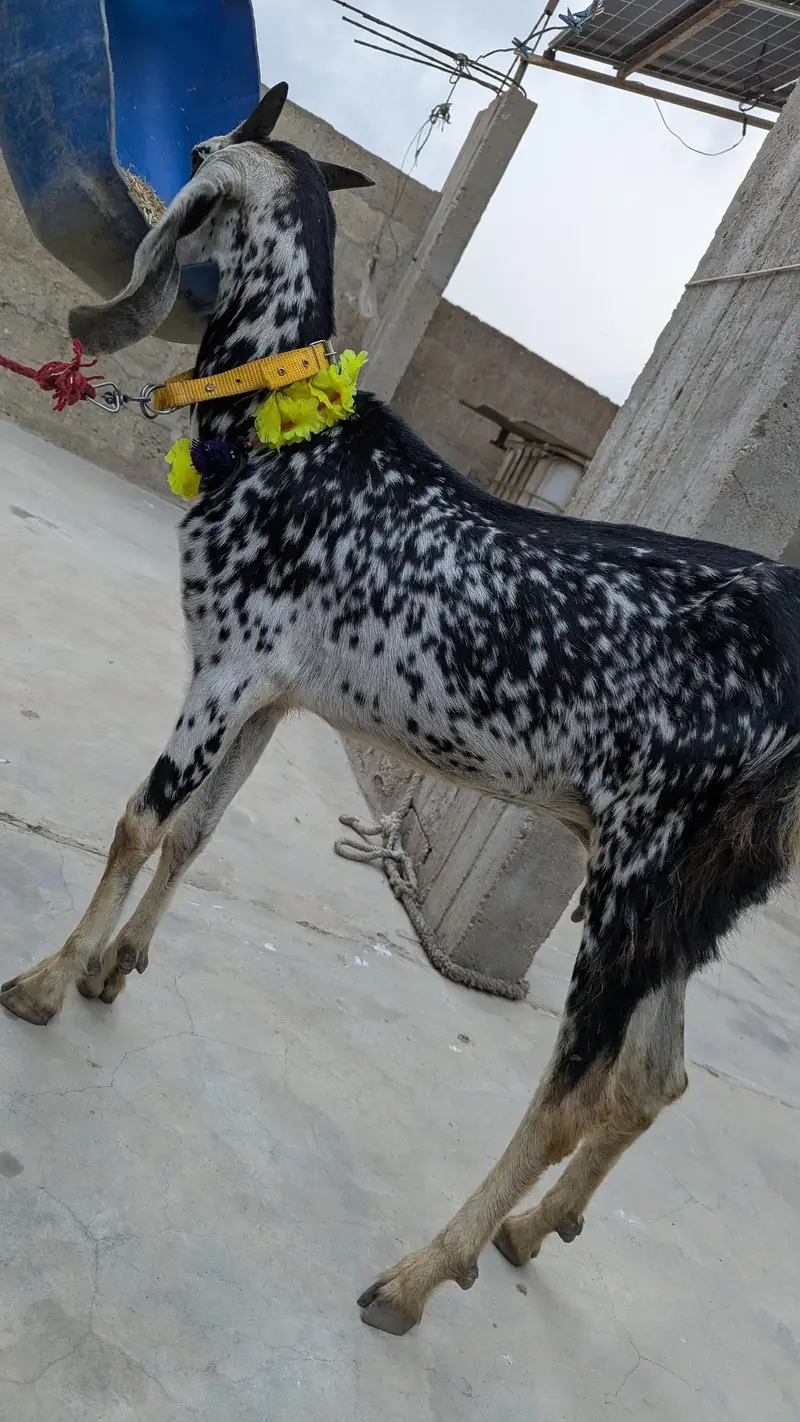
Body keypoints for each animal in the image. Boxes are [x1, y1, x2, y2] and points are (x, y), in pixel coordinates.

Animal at [4, 82, 800, 1338]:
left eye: (197, 156)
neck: (290, 432)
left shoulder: (224, 667)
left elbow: (139, 818)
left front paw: (40, 981)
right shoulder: (274, 690)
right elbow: (196, 830)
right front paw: (110, 969)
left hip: (639, 857)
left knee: (573, 1089)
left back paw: (419, 1273)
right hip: (700, 888)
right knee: (652, 1077)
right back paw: (528, 1229)